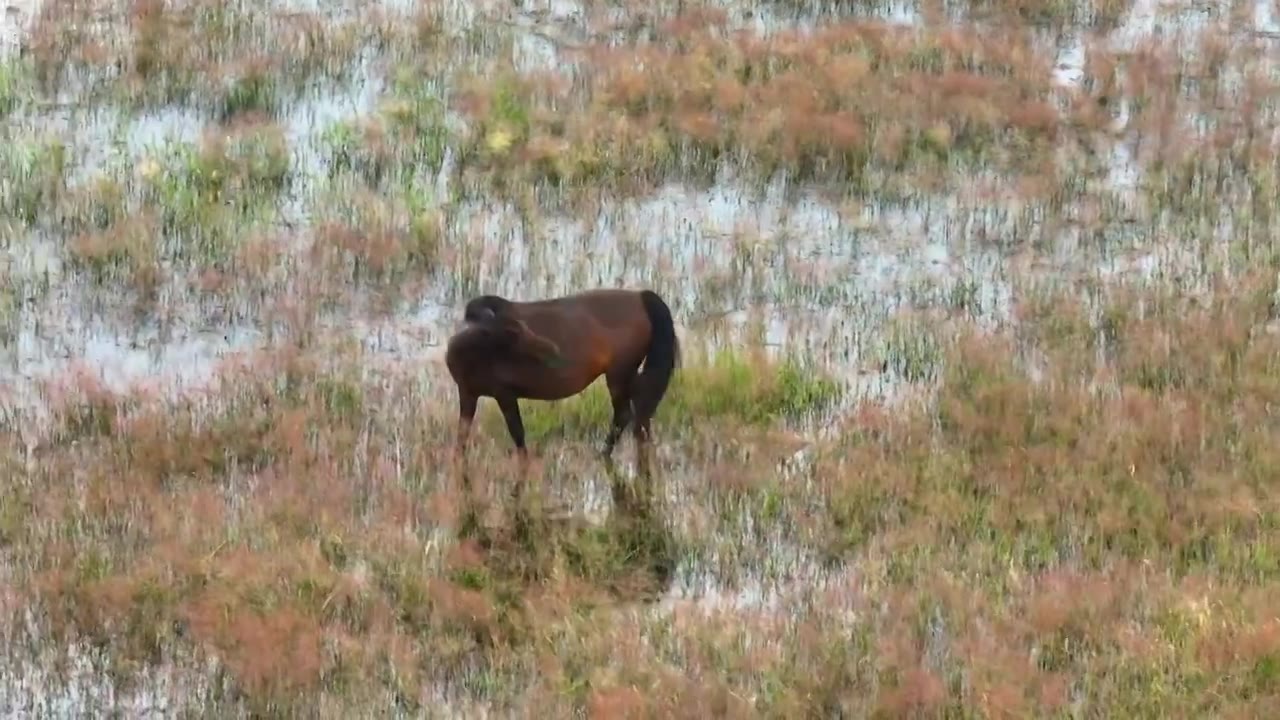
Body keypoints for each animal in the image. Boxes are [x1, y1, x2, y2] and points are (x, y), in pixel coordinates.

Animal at [445, 285, 680, 466]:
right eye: (513, 332)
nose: (551, 349)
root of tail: (641, 296)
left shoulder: (505, 394)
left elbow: (517, 432)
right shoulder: (468, 393)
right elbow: (462, 433)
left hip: (619, 373)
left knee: (624, 415)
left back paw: (603, 454)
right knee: (640, 413)